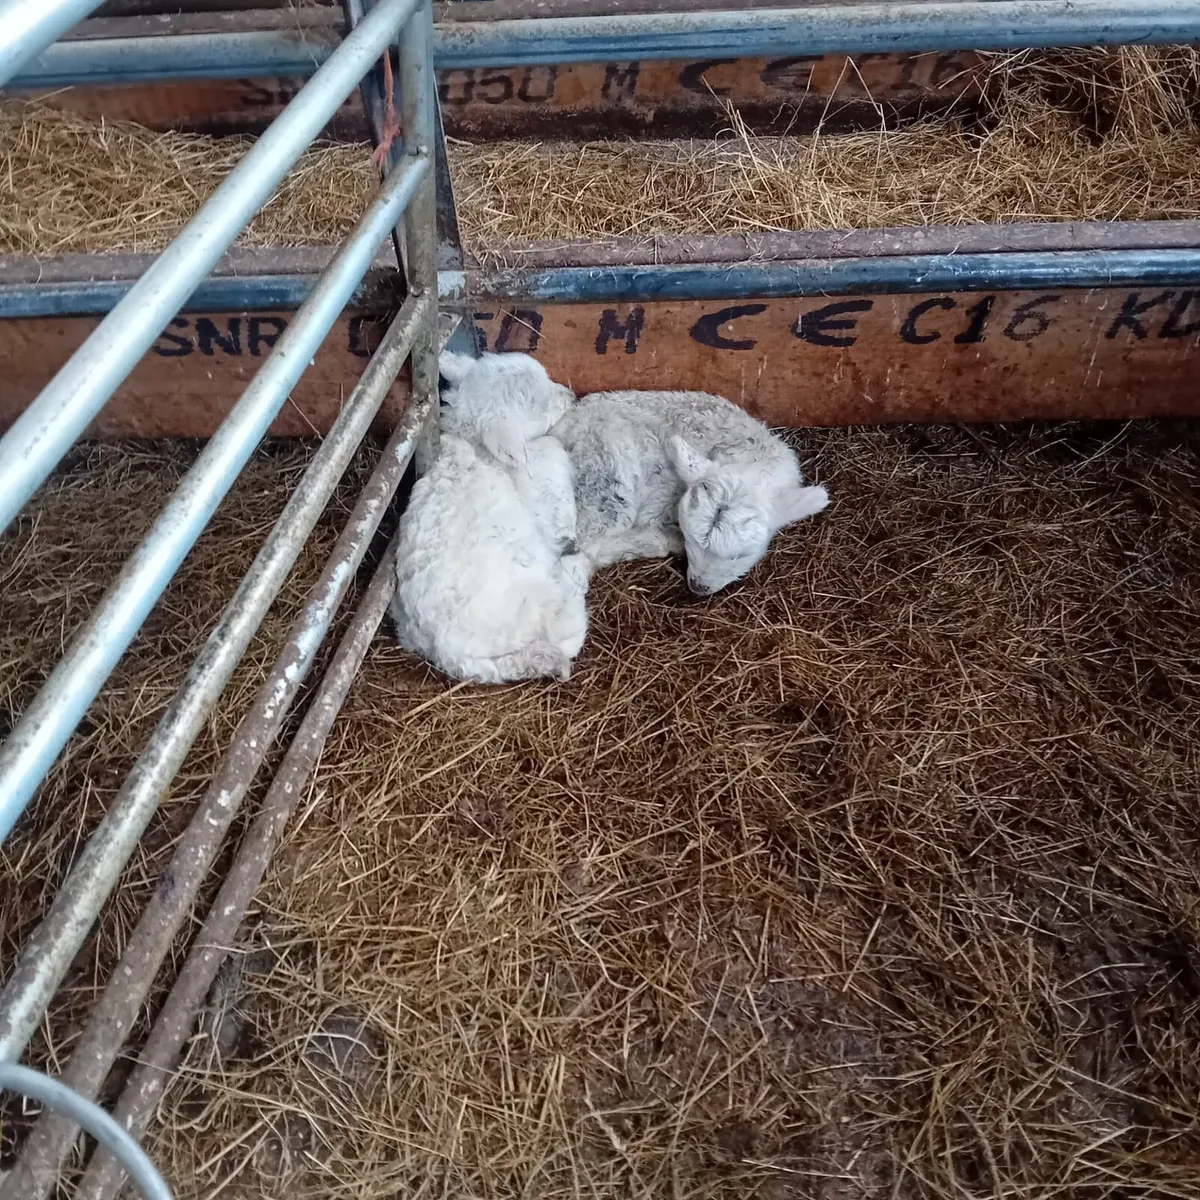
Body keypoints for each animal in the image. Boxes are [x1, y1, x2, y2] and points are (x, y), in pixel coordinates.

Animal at [390, 352, 590, 683]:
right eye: (538, 406)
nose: (571, 395)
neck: (474, 445)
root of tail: (450, 653)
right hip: (538, 602)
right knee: (567, 628)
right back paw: (576, 566)